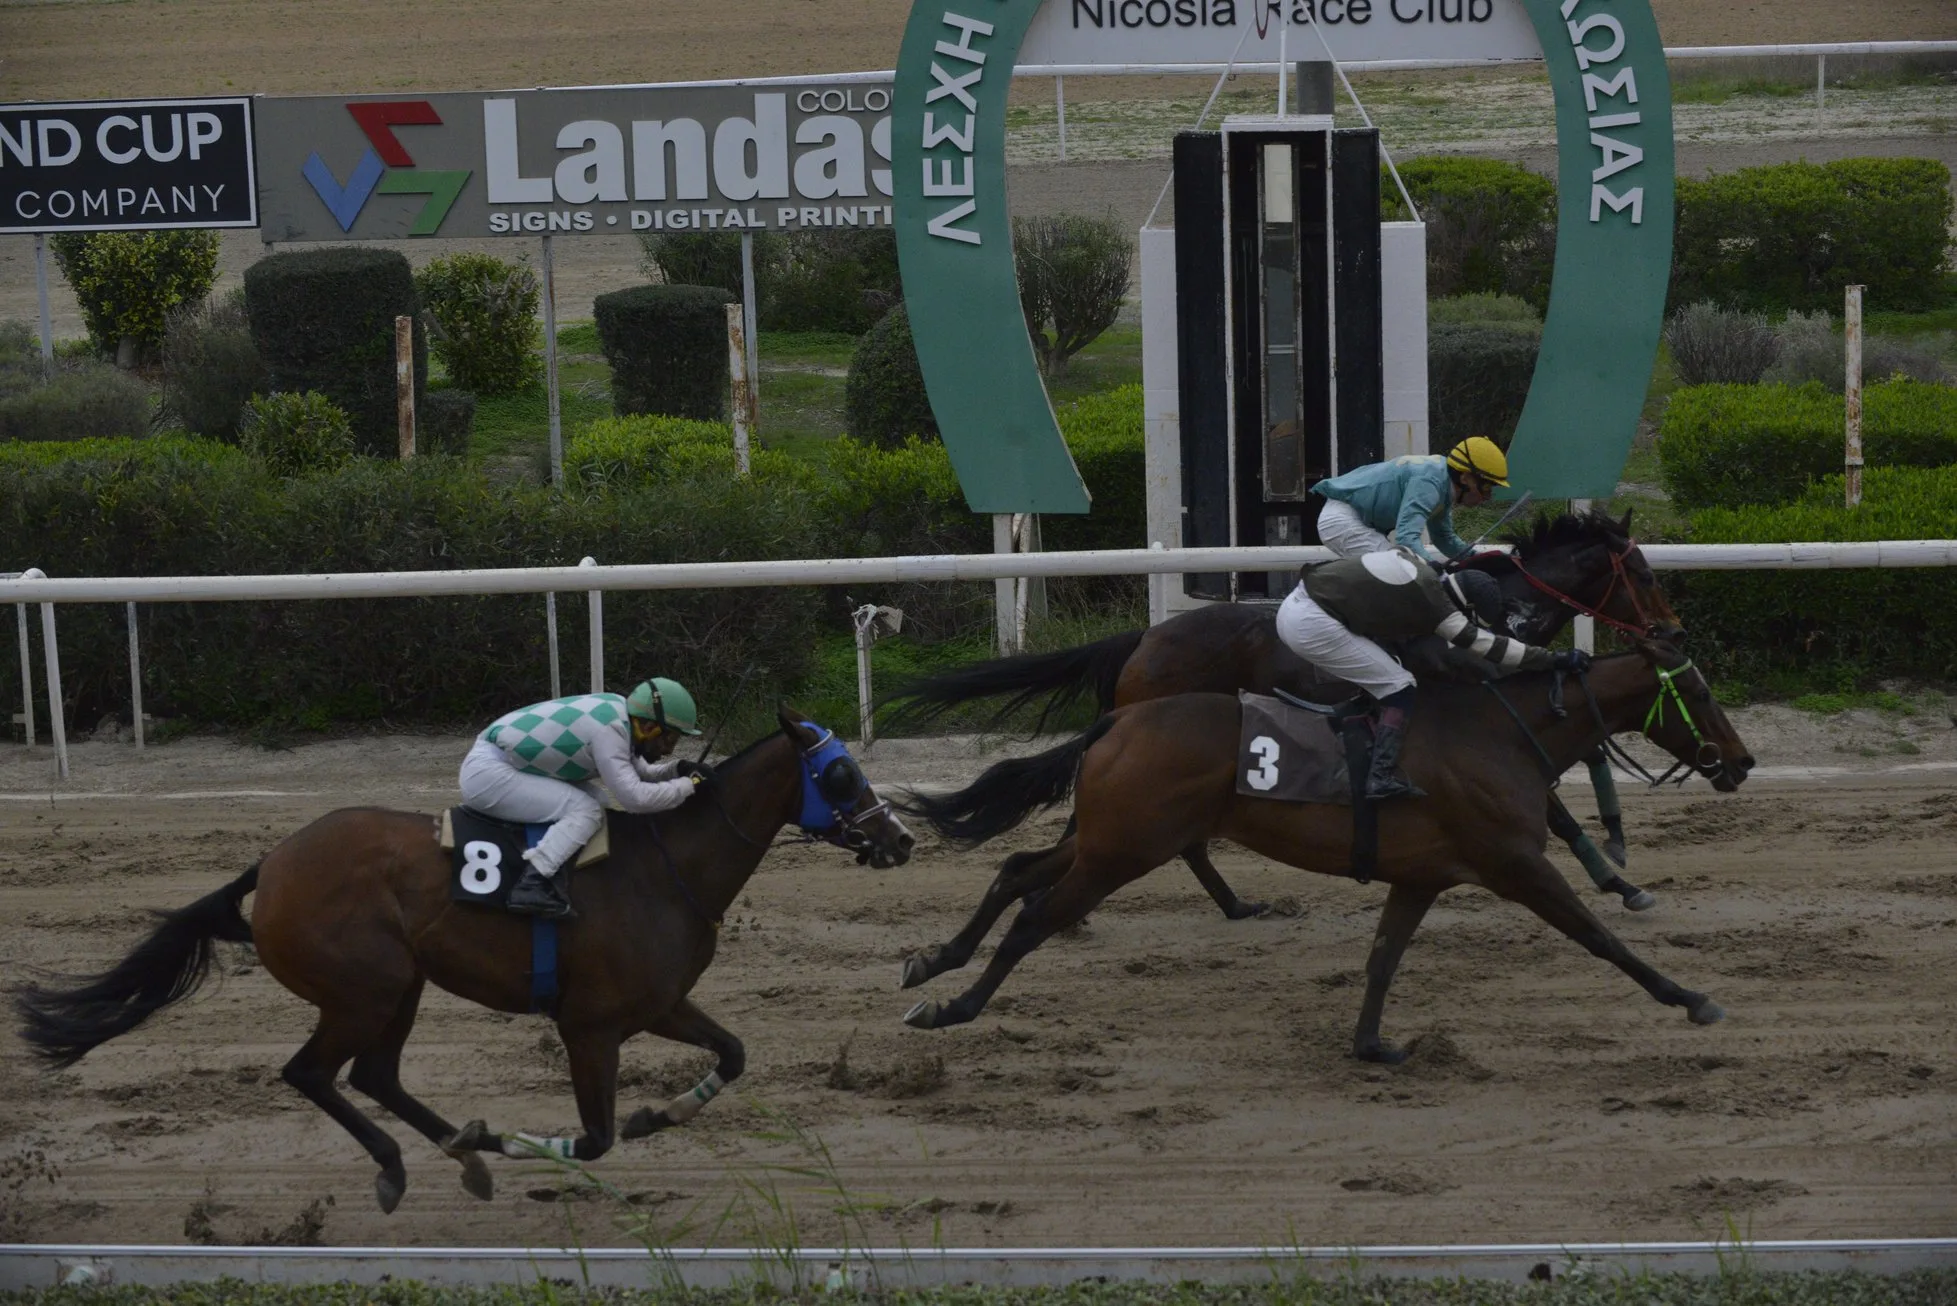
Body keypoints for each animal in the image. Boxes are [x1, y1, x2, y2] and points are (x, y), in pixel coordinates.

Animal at [16, 708, 914, 1214]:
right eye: (840, 772)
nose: (901, 839)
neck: (666, 868)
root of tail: (270, 865)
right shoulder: (591, 1026)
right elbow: (593, 1140)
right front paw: (521, 1140)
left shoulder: (658, 1005)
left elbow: (732, 1053)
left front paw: (657, 1114)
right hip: (364, 987)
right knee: (311, 1073)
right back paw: (405, 1164)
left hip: (401, 985)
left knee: (374, 1075)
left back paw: (458, 1153)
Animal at [881, 509, 1682, 916]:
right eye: (1643, 574)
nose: (1670, 630)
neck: (1487, 612)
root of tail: (1143, 639)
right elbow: (1557, 812)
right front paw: (1621, 881)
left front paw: (1619, 856)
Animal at [897, 643, 1752, 1061]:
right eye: (1699, 693)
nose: (1740, 763)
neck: (1499, 732)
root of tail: (1116, 719)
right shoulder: (1515, 865)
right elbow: (1599, 938)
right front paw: (1690, 997)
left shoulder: (1421, 878)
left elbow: (1381, 959)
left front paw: (1371, 1044)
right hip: (1123, 851)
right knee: (1035, 916)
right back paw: (953, 1006)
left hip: (1111, 839)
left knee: (1016, 872)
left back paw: (932, 961)